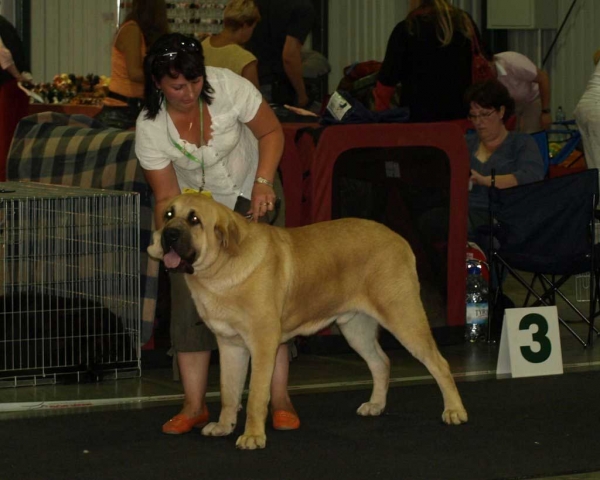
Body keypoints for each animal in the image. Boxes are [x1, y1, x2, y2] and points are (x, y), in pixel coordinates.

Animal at [148, 192, 466, 450]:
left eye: (194, 219)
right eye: (168, 215)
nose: (169, 235)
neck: (223, 268)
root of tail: (399, 239)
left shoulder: (262, 345)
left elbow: (256, 396)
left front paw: (252, 436)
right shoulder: (230, 346)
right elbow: (229, 391)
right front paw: (224, 426)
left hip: (403, 315)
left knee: (439, 364)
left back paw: (454, 411)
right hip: (356, 328)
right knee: (381, 362)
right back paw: (376, 404)